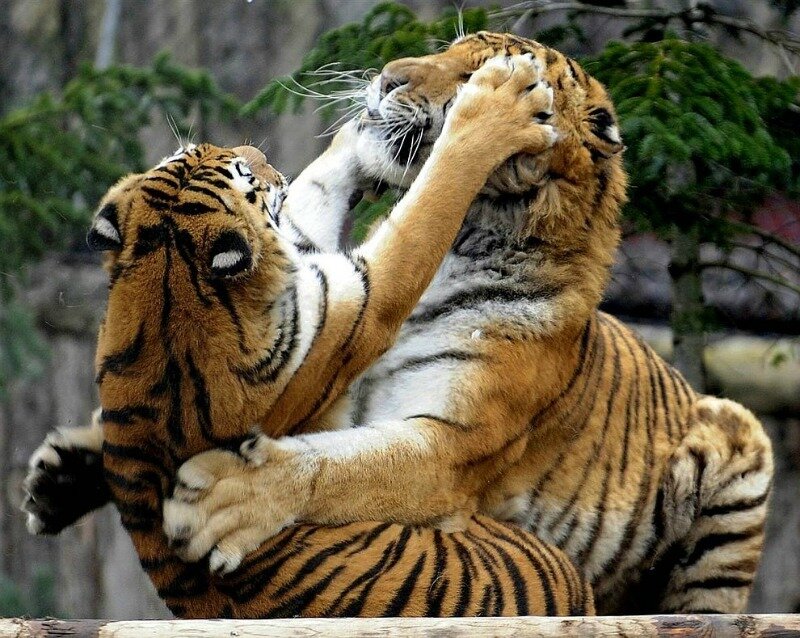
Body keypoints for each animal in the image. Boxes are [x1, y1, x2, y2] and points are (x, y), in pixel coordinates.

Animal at [25, 32, 773, 615]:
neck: (473, 239)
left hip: (739, 440)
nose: (386, 77)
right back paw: (62, 477)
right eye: (445, 49)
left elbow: (343, 468)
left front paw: (228, 499)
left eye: (474, 71)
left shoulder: (447, 447)